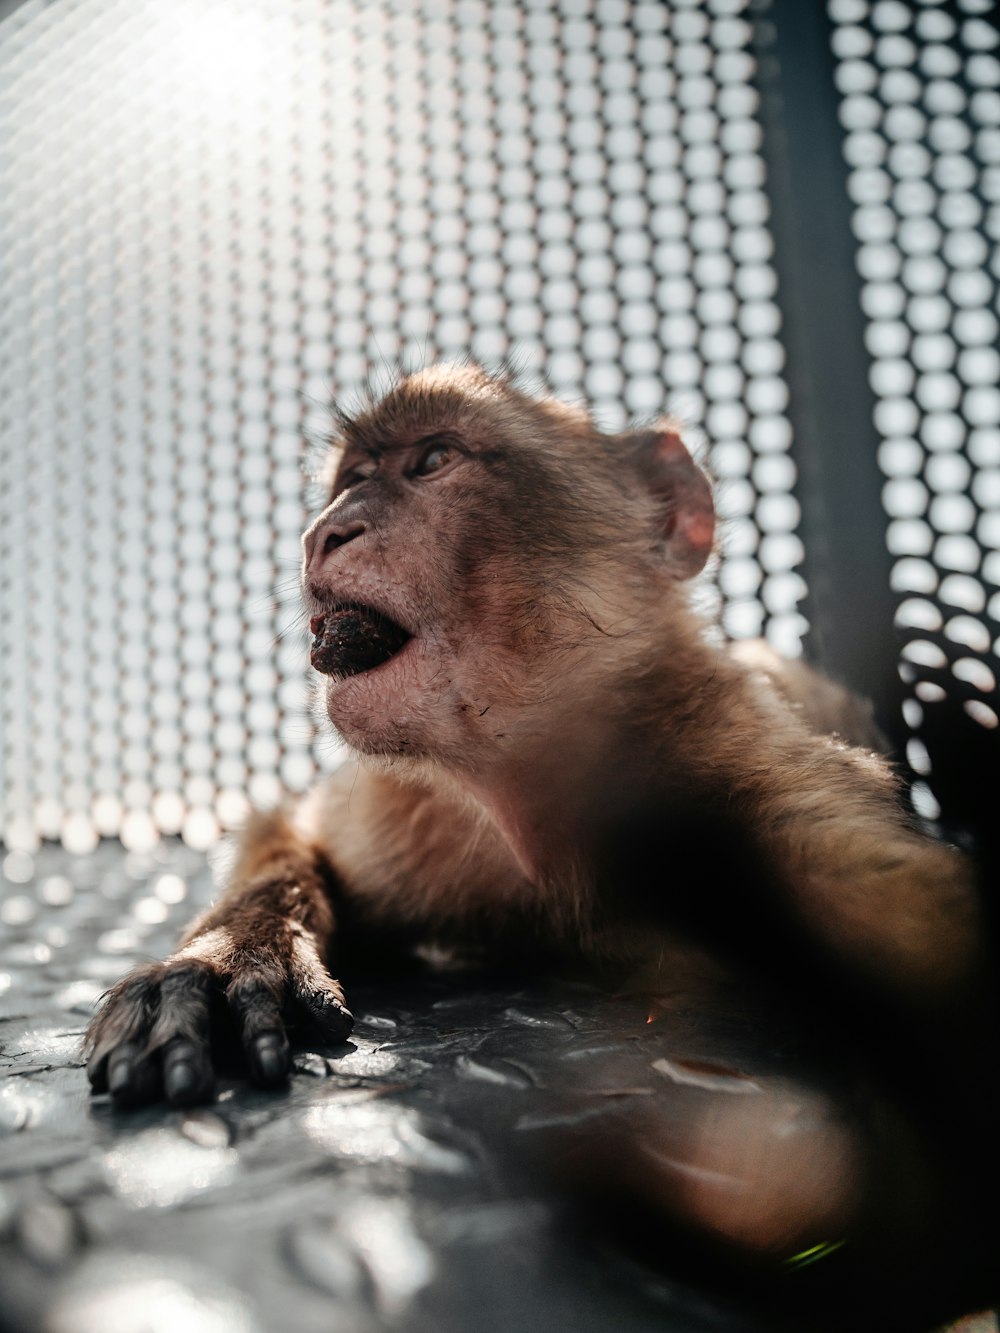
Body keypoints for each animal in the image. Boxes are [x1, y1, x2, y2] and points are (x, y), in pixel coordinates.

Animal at [84, 365, 997, 1322]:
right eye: (350, 480)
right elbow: (288, 828)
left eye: (432, 461)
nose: (324, 532)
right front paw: (226, 960)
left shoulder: (744, 774)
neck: (527, 795)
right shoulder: (405, 812)